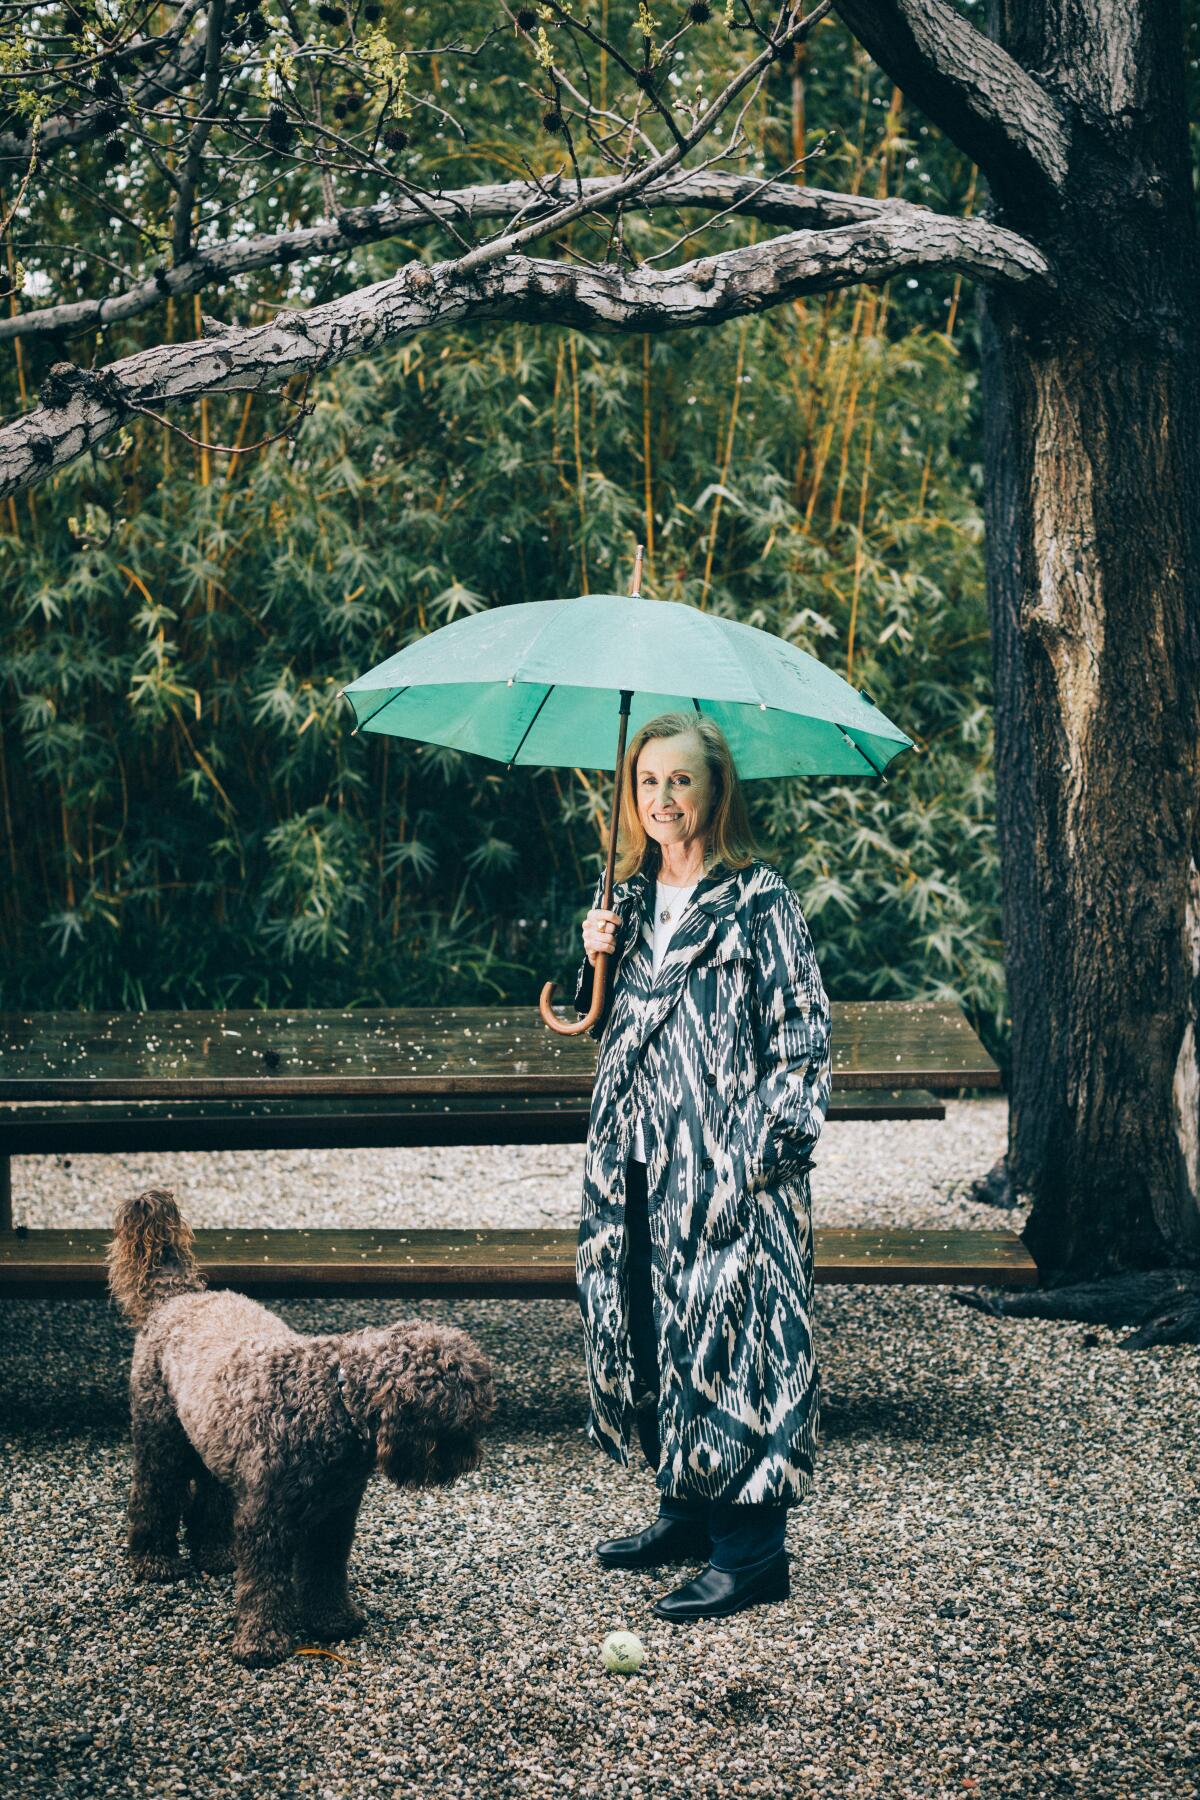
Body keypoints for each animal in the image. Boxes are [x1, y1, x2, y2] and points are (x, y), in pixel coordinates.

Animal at [105, 1188, 496, 1663]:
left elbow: (324, 1573)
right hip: (161, 1441)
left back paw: (215, 1552)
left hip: (212, 1447)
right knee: (153, 1497)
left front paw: (332, 1620)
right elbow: (265, 1584)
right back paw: (154, 1561)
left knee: (209, 1500)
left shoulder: (333, 1517)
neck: (331, 1402)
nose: (470, 1458)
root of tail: (177, 1296)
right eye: (455, 1422)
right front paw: (261, 1640)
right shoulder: (267, 1519)